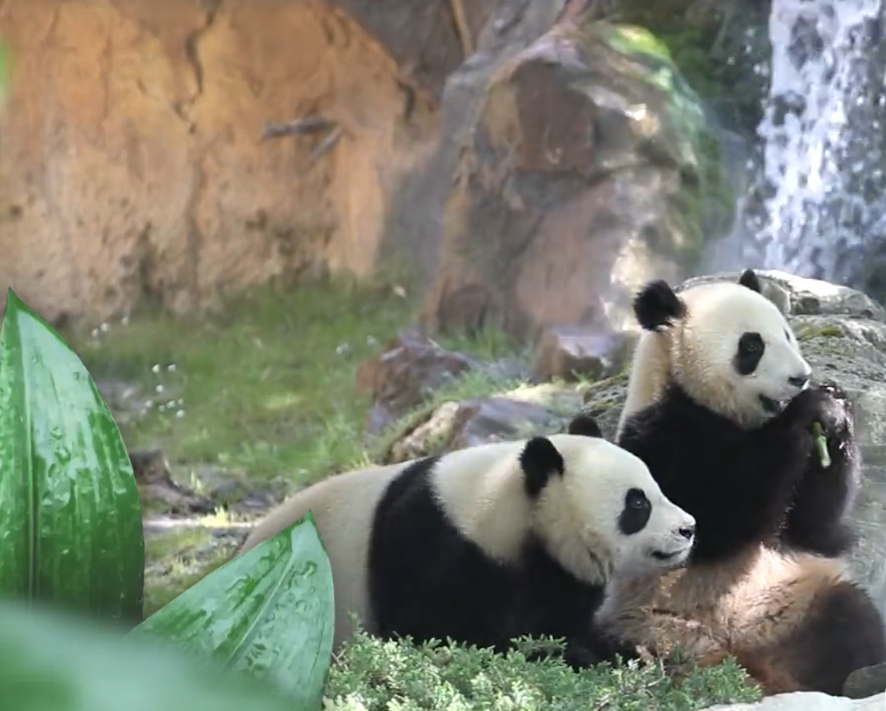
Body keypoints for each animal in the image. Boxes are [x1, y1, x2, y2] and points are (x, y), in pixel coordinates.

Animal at [236, 414, 700, 672]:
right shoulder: (432, 544)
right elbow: (436, 630)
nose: (688, 528)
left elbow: (560, 618)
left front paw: (621, 651)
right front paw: (560, 656)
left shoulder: (554, 568)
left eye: (656, 488)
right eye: (637, 503)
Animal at [592, 270, 886, 700]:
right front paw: (808, 410)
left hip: (798, 597)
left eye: (788, 334)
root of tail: (748, 667)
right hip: (648, 625)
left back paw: (858, 675)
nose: (801, 378)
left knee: (850, 621)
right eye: (751, 346)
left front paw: (834, 408)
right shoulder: (659, 440)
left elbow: (815, 529)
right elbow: (713, 520)